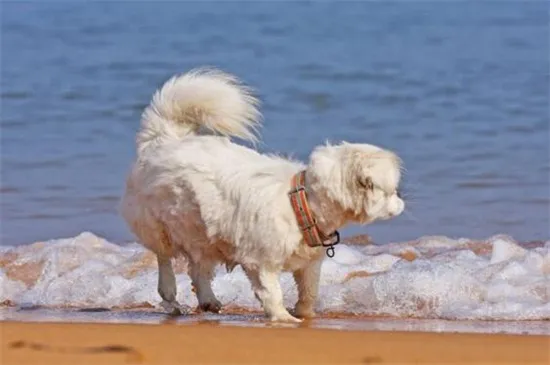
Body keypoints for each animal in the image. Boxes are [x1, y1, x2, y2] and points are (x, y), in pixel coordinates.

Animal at [122, 67, 406, 320]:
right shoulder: (262, 263)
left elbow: (309, 291)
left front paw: (304, 313)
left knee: (198, 269)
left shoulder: (309, 265)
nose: (402, 204)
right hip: (161, 229)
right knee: (165, 260)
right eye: (392, 192)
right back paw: (171, 297)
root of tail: (164, 139)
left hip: (202, 233)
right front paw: (283, 318)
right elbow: (272, 293)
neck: (301, 203)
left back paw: (208, 300)